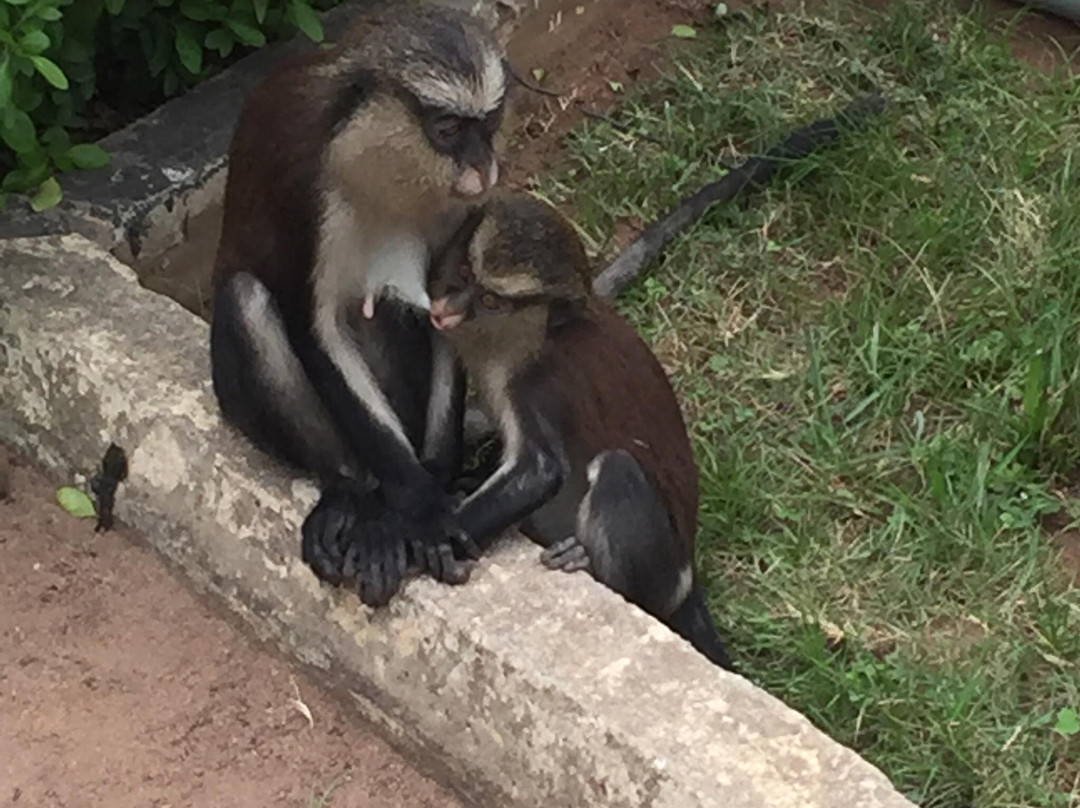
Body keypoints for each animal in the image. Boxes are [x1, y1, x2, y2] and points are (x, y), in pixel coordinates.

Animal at [212, 4, 511, 600]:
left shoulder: (463, 215)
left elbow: (446, 312)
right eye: (447, 130)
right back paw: (353, 495)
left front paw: (436, 483)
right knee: (246, 298)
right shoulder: (303, 185)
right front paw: (421, 506)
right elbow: (316, 328)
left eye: (487, 126)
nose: (482, 168)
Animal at [425, 192, 730, 665]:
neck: (533, 332)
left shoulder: (539, 382)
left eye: (491, 300)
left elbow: (540, 469)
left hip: (661, 576)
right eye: (463, 273)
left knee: (618, 468)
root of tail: (688, 577)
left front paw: (425, 541)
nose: (447, 310)